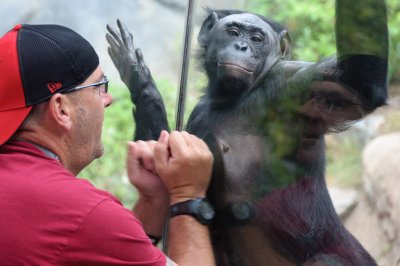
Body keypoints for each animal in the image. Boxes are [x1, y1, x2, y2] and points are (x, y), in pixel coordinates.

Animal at [107, 0, 388, 264]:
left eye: (256, 39)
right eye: (233, 32)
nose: (241, 46)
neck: (237, 97)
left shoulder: (291, 83)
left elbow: (356, 86)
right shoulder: (198, 115)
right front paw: (140, 78)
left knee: (327, 260)